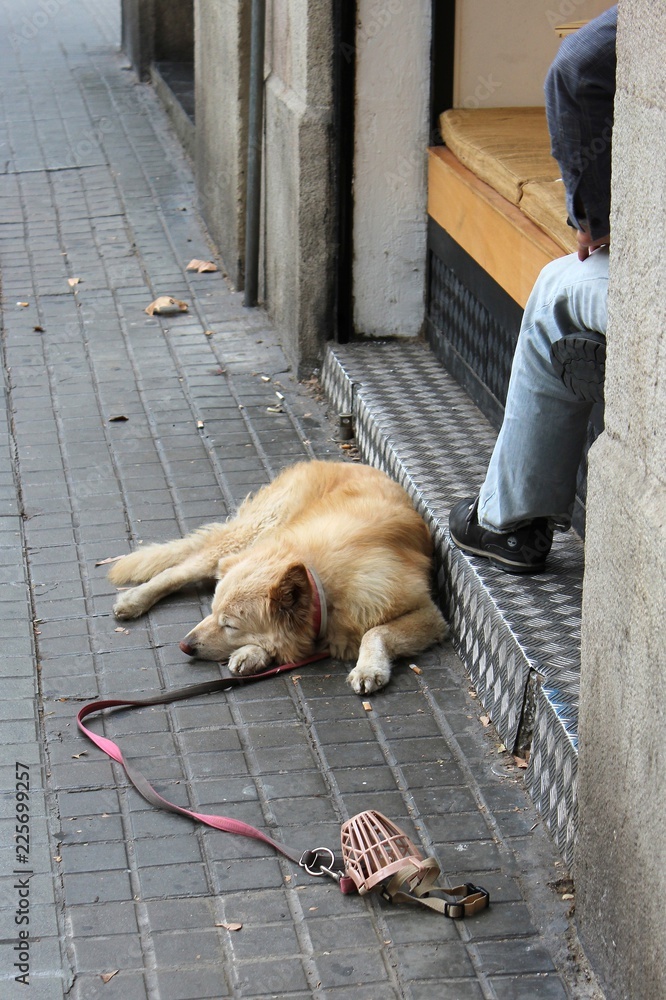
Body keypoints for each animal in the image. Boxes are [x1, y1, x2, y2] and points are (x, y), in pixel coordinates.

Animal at [107, 462, 446, 692]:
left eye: (229, 625)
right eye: (212, 613)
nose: (184, 645)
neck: (319, 585)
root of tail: (330, 461)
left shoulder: (428, 614)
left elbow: (375, 632)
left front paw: (368, 668)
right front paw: (254, 652)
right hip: (252, 533)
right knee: (180, 569)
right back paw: (134, 599)